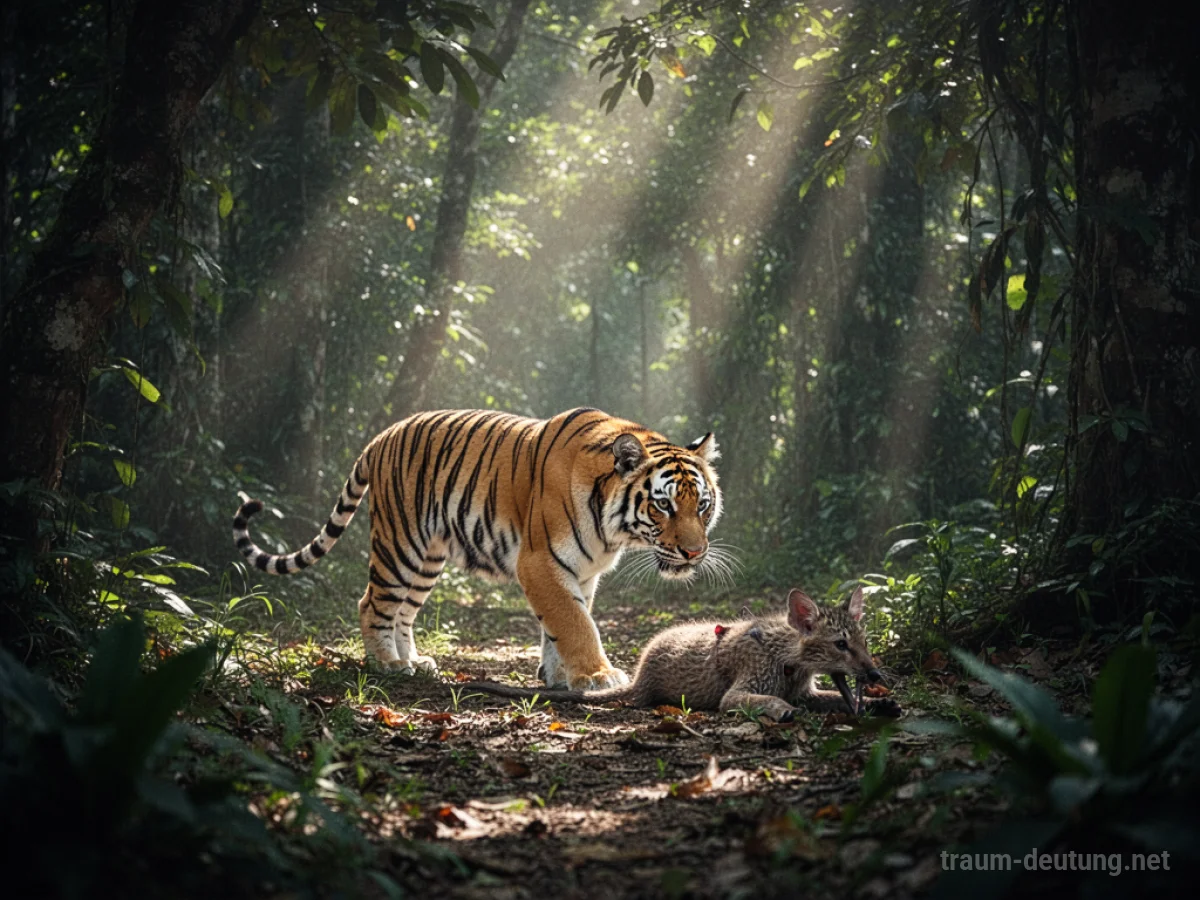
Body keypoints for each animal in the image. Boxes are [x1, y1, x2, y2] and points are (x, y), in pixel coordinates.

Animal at [232, 407, 723, 690]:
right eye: (663, 505)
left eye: (701, 504)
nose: (694, 553)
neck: (614, 530)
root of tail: (382, 436)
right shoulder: (540, 562)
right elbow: (575, 622)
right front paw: (598, 676)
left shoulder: (581, 573)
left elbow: (561, 623)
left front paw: (560, 677)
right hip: (399, 545)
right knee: (372, 603)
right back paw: (388, 665)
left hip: (427, 559)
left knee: (403, 611)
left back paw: (415, 662)